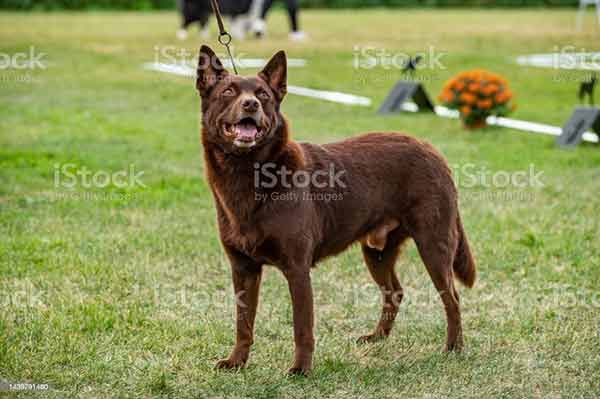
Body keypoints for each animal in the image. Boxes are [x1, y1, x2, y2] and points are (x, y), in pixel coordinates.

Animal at [195, 45, 476, 376]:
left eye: (263, 94)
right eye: (228, 91)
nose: (250, 104)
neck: (248, 172)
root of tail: (432, 150)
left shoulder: (297, 269)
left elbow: (302, 327)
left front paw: (301, 370)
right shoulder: (243, 269)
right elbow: (243, 323)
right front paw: (237, 361)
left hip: (433, 243)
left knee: (452, 297)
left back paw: (453, 348)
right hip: (377, 251)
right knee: (394, 291)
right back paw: (378, 337)